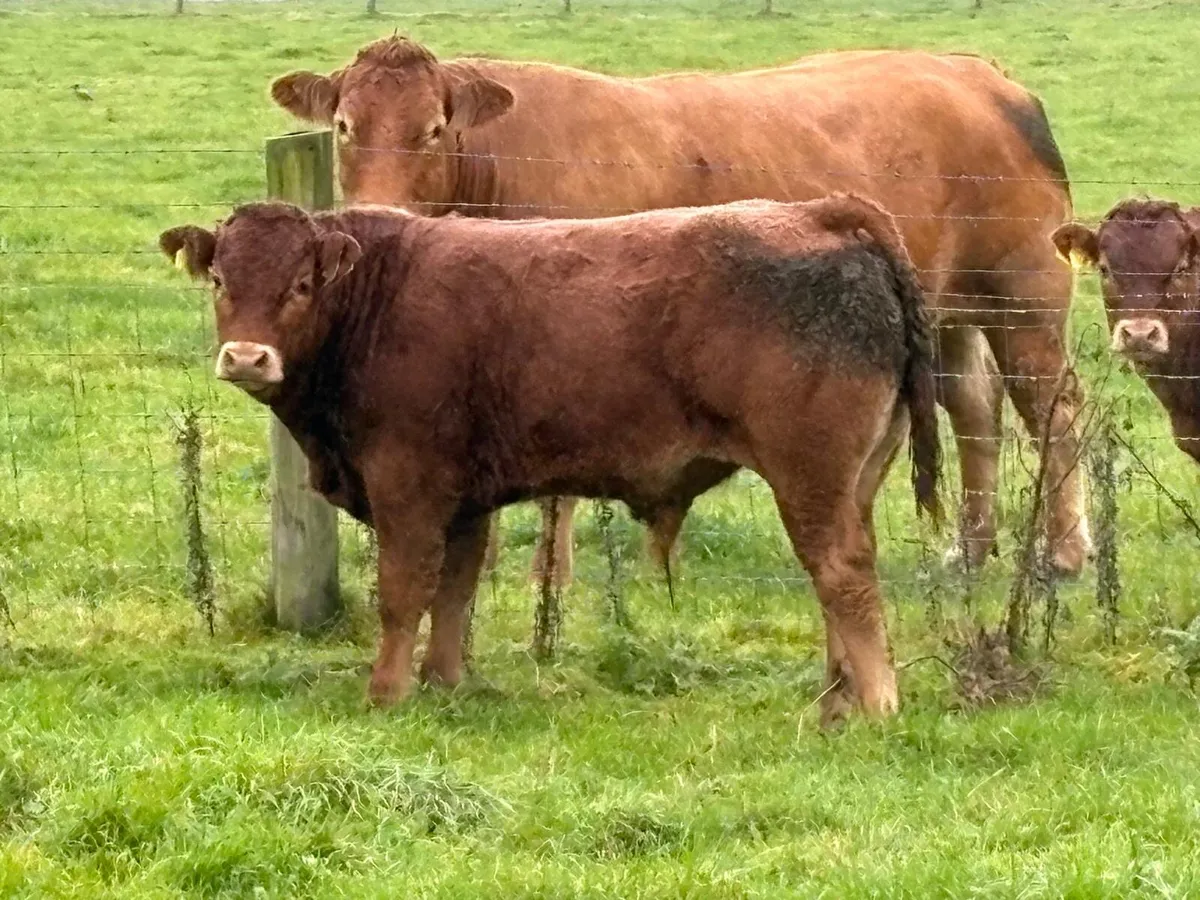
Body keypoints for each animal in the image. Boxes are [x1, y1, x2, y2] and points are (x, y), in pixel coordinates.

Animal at [160, 193, 941, 725]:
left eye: (299, 285)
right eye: (222, 282)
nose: (247, 358)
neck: (377, 298)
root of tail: (820, 213)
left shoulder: (407, 486)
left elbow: (403, 591)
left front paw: (386, 692)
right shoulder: (464, 499)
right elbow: (456, 590)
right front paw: (444, 683)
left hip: (810, 479)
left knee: (841, 573)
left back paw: (875, 704)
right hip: (856, 479)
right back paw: (836, 701)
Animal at [268, 36, 1091, 584]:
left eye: (433, 129)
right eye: (343, 126)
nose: (377, 210)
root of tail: (978, 75)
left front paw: (549, 581)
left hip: (1026, 293)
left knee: (1052, 406)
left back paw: (1065, 552)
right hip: (947, 309)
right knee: (975, 409)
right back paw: (972, 549)